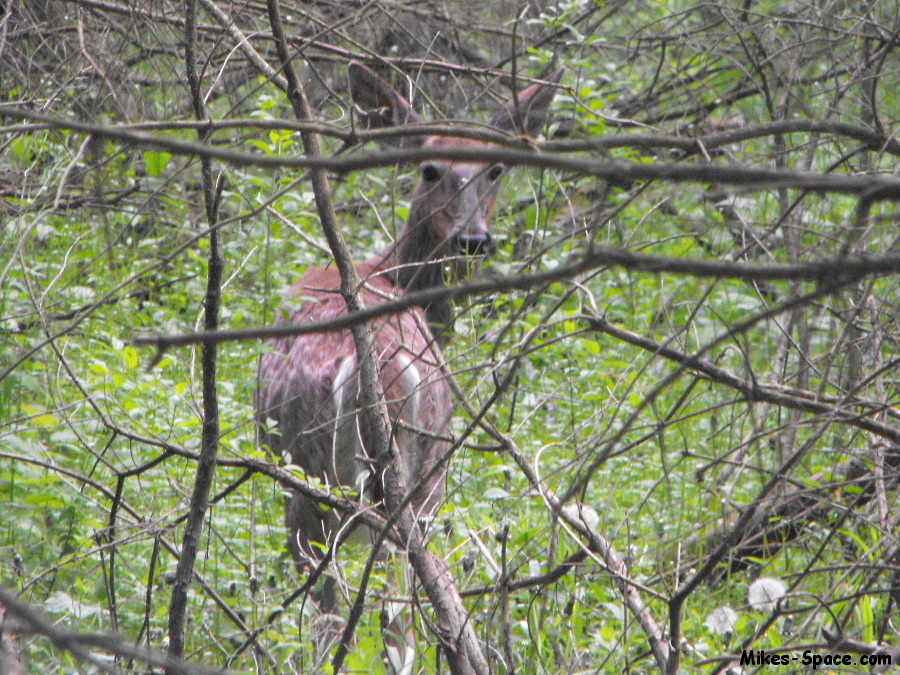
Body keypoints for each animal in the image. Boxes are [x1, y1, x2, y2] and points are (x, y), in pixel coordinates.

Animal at [255, 62, 556, 672]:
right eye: (430, 168)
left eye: (495, 169)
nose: (473, 239)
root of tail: (376, 365)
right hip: (413, 473)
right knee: (393, 610)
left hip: (327, 477)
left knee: (358, 616)